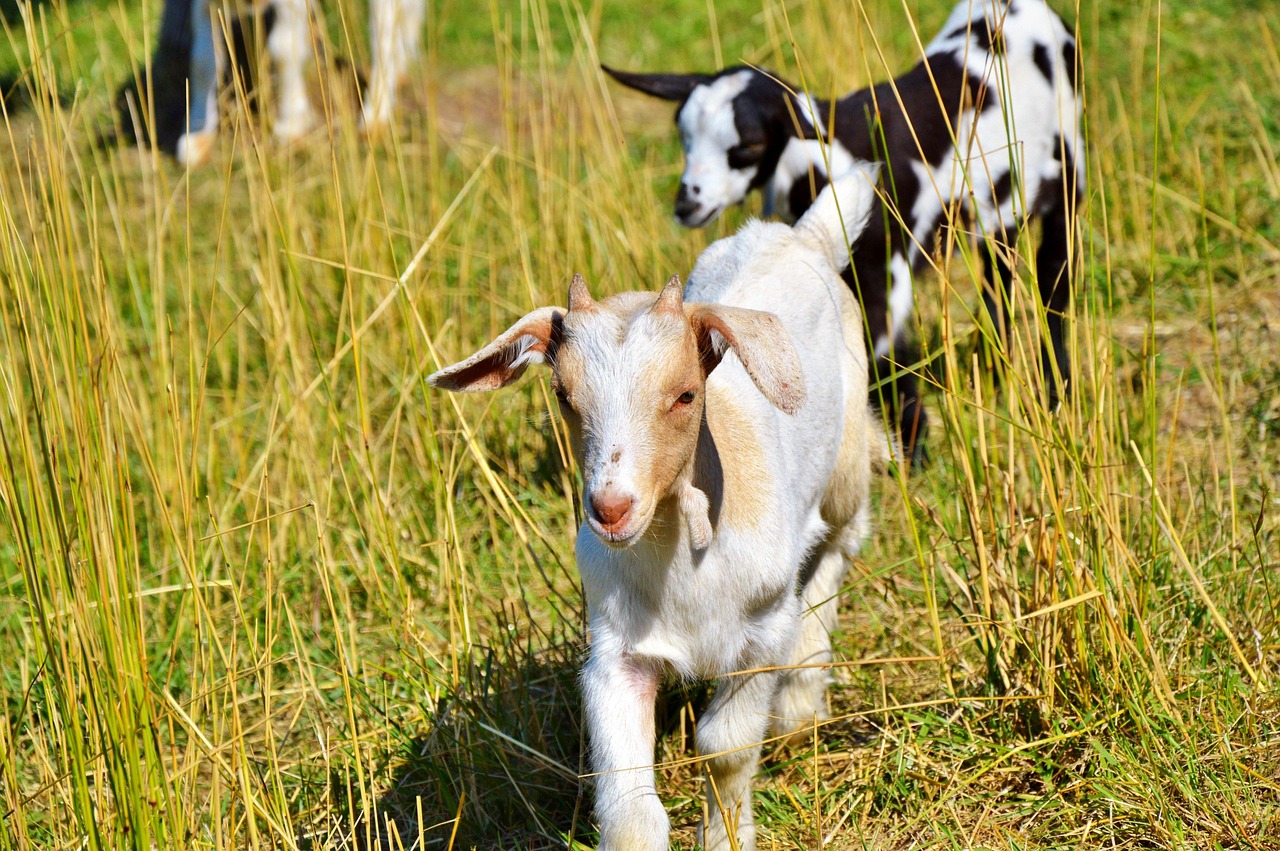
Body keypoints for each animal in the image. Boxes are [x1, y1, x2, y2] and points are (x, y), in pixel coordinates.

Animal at [604, 0, 1085, 460]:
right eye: (684, 137)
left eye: (750, 145)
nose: (688, 204)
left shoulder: (883, 272)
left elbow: (883, 353)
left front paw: (911, 451)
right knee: (999, 280)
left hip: (1068, 169)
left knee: (1053, 277)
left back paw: (1057, 391)